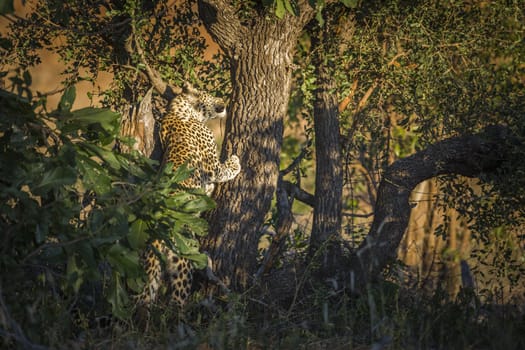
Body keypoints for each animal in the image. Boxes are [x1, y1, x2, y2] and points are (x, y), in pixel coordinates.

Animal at [136, 81, 241, 312]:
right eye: (209, 94)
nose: (224, 100)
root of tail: (156, 235)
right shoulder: (213, 167)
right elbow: (224, 170)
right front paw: (236, 161)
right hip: (181, 261)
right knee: (176, 301)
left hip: (152, 271)